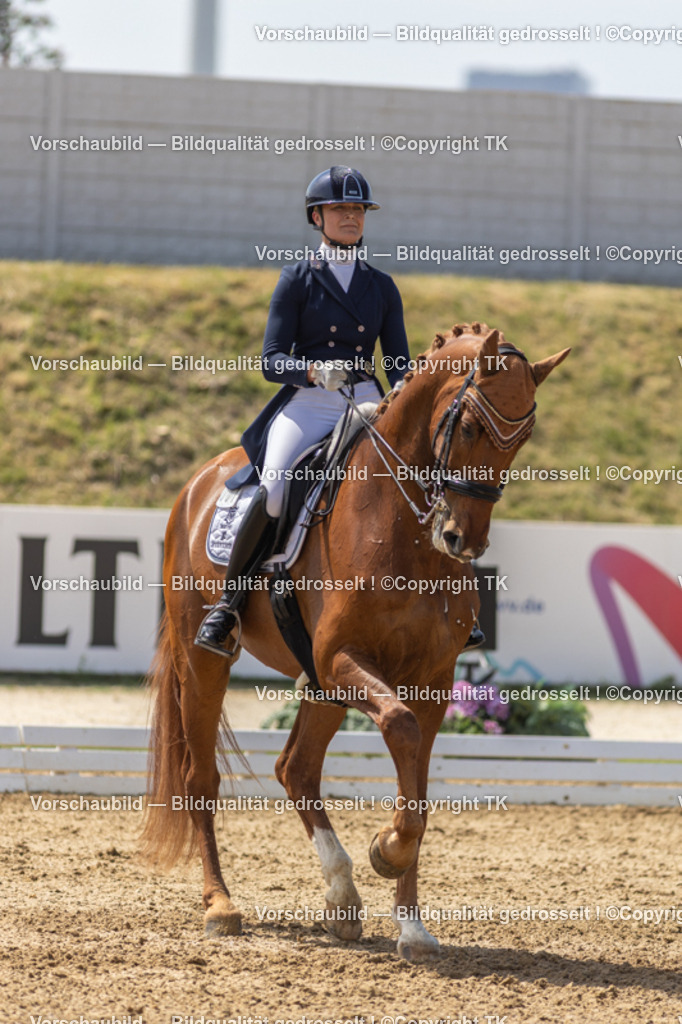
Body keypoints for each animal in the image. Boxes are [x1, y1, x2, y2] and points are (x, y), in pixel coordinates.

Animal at [142, 322, 569, 962]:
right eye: (469, 424)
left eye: (525, 437)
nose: (462, 539)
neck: (403, 531)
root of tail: (199, 482)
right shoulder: (345, 659)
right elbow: (400, 729)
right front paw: (385, 852)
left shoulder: (432, 678)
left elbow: (417, 789)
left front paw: (411, 924)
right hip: (204, 662)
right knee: (201, 780)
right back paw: (221, 905)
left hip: (318, 685)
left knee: (296, 769)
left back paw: (342, 900)